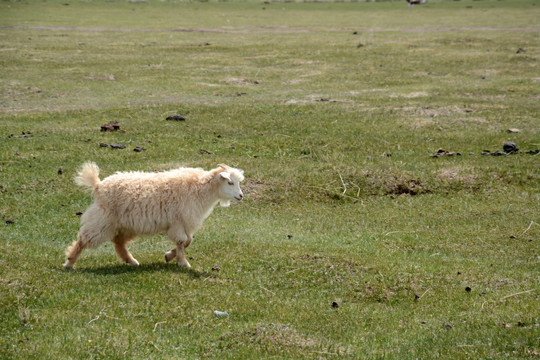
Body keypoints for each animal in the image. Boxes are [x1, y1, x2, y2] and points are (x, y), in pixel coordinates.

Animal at [62, 162, 245, 268]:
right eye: (230, 182)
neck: (200, 188)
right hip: (102, 220)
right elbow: (182, 242)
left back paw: (131, 261)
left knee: (118, 242)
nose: (241, 196)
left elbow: (188, 241)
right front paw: (183, 262)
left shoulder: (183, 223)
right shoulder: (178, 221)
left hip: (125, 225)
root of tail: (98, 185)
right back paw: (69, 262)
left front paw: (169, 256)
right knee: (84, 239)